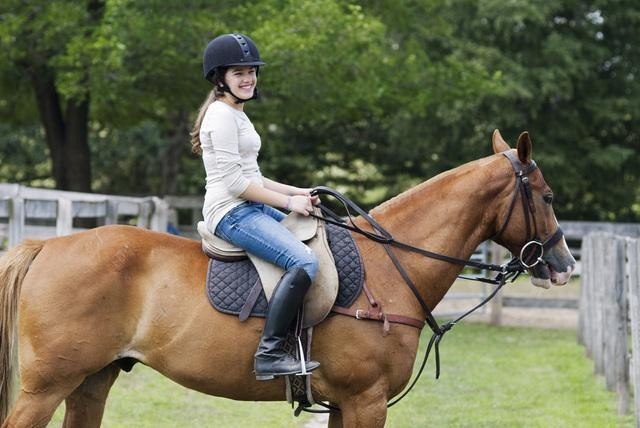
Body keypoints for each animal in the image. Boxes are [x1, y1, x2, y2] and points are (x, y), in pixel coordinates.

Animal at [0, 130, 576, 428]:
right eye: (547, 197)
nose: (565, 264)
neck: (389, 269)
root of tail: (46, 245)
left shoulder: (347, 404)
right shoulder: (365, 402)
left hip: (91, 382)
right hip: (45, 387)